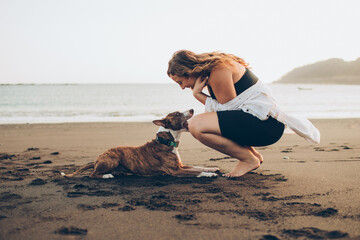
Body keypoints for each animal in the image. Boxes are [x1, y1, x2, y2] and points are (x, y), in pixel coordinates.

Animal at [61, 109, 219, 178]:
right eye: (177, 114)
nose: (192, 109)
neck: (166, 140)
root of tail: (96, 160)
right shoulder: (176, 171)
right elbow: (196, 172)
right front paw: (208, 174)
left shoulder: (181, 165)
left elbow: (197, 167)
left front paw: (212, 168)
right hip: (112, 159)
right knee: (93, 174)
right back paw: (107, 176)